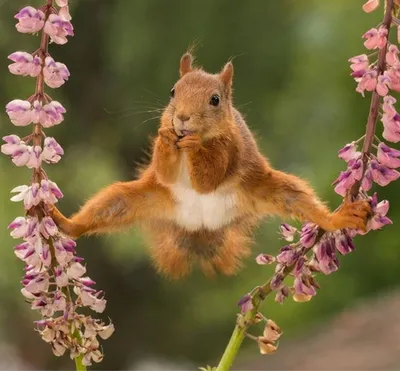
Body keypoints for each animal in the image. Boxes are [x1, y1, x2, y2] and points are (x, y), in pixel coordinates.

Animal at [50, 52, 372, 280]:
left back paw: (339, 218)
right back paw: (62, 221)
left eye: (215, 100)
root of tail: (201, 226)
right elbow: (166, 171)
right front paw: (166, 137)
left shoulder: (230, 150)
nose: (181, 118)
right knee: (103, 209)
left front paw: (194, 147)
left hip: (270, 189)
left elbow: (209, 179)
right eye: (172, 92)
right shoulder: (164, 170)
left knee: (300, 200)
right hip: (137, 198)